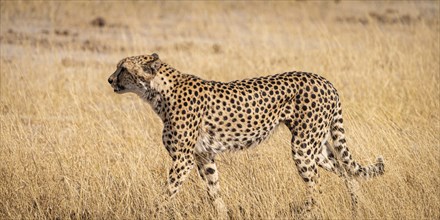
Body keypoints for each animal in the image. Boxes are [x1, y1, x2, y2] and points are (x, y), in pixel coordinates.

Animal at [107, 53, 384, 217]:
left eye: (123, 68)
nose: (109, 79)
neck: (157, 92)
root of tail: (324, 80)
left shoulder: (183, 159)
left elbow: (166, 195)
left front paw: (151, 214)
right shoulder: (203, 156)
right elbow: (214, 192)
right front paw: (223, 214)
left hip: (303, 147)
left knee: (317, 186)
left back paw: (307, 213)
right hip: (316, 146)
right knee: (345, 170)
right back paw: (359, 206)